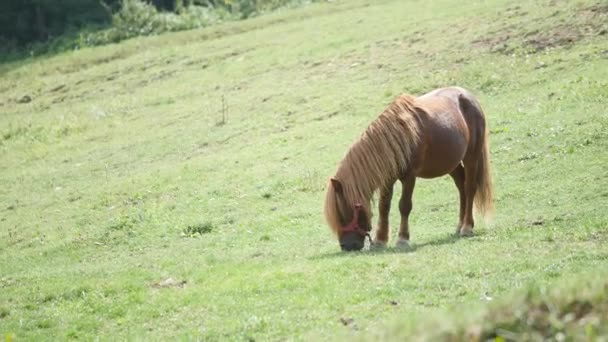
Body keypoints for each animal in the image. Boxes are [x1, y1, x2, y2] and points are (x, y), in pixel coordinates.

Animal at [324, 86, 494, 251]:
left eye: (341, 213)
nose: (346, 246)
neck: (397, 138)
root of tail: (468, 95)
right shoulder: (387, 179)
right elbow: (384, 207)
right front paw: (380, 240)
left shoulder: (410, 177)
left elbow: (404, 206)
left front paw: (403, 239)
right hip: (451, 162)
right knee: (461, 187)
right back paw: (459, 225)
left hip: (471, 157)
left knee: (470, 188)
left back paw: (467, 227)